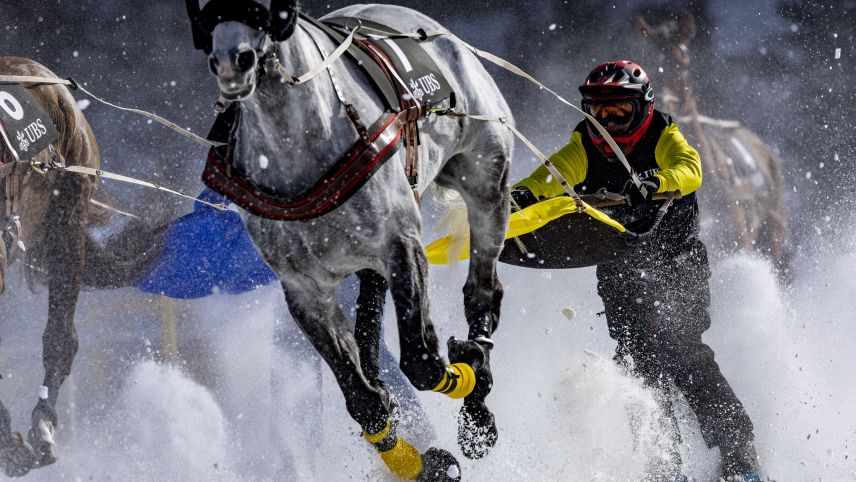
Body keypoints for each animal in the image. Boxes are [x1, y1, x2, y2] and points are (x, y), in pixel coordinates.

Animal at [188, 2, 516, 478]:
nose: (234, 61)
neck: (296, 146)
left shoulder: (400, 245)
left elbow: (420, 360)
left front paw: (470, 368)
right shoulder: (304, 289)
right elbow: (364, 401)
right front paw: (416, 461)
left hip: (488, 184)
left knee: (483, 290)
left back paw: (477, 402)